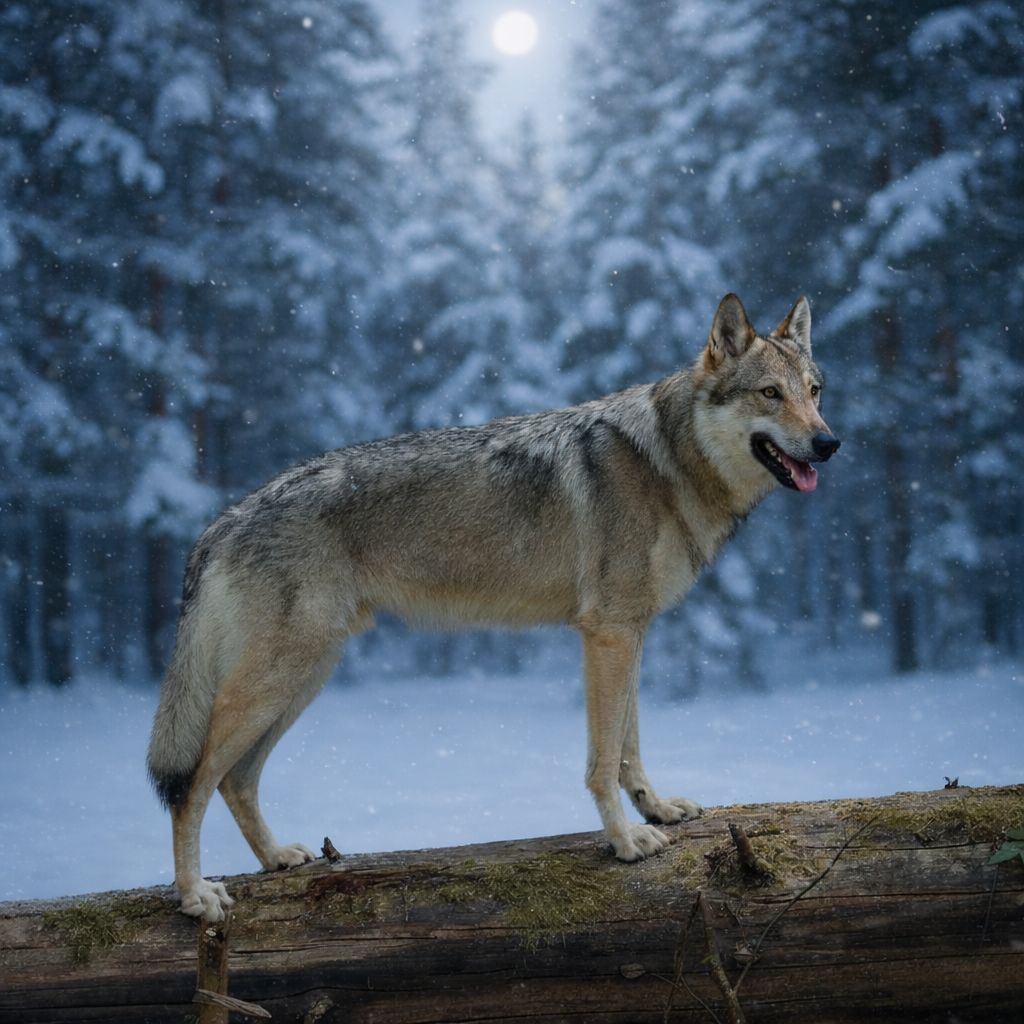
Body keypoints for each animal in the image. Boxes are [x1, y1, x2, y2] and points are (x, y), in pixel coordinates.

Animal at [147, 293, 839, 921]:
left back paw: (275, 859)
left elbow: (629, 747)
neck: (669, 461)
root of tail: (221, 522)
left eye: (814, 391)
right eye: (770, 394)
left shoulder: (631, 633)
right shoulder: (608, 633)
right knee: (191, 786)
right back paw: (195, 896)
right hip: (279, 678)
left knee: (236, 780)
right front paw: (623, 842)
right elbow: (600, 761)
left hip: (304, 678)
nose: (829, 442)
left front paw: (658, 810)